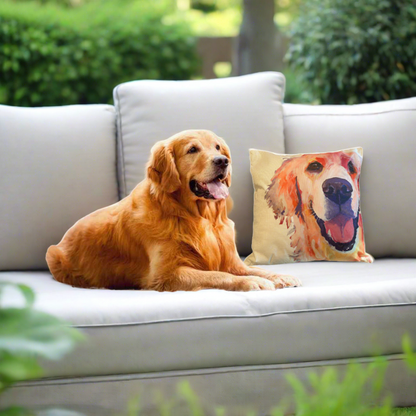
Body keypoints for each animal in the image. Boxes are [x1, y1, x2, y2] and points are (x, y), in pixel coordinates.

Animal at [46, 131, 302, 292]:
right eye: (192, 149)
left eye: (218, 147)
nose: (222, 161)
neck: (198, 217)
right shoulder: (166, 275)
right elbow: (218, 275)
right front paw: (250, 283)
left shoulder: (232, 261)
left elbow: (255, 269)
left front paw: (279, 276)